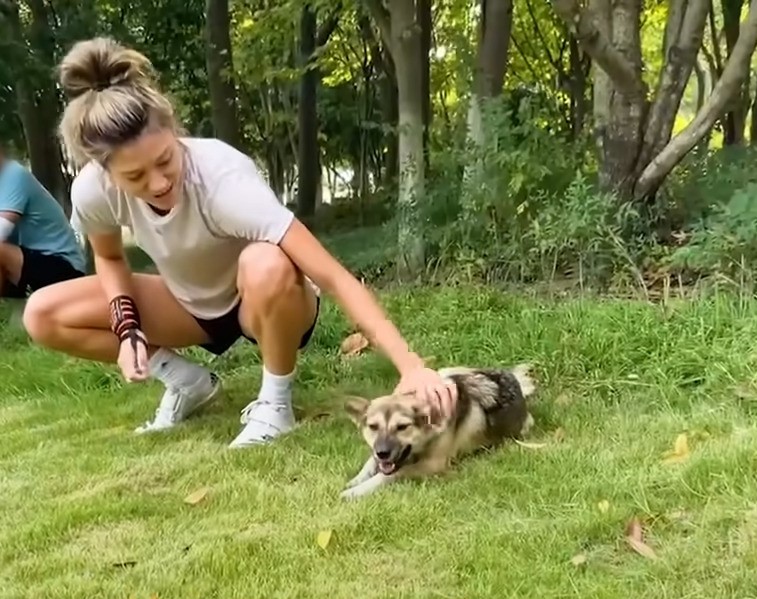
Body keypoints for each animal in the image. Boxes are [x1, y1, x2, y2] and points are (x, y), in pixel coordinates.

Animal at [340, 364, 536, 500]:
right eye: (373, 427)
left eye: (402, 427)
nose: (383, 453)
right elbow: (370, 463)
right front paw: (356, 480)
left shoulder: (433, 464)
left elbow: (390, 474)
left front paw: (357, 490)